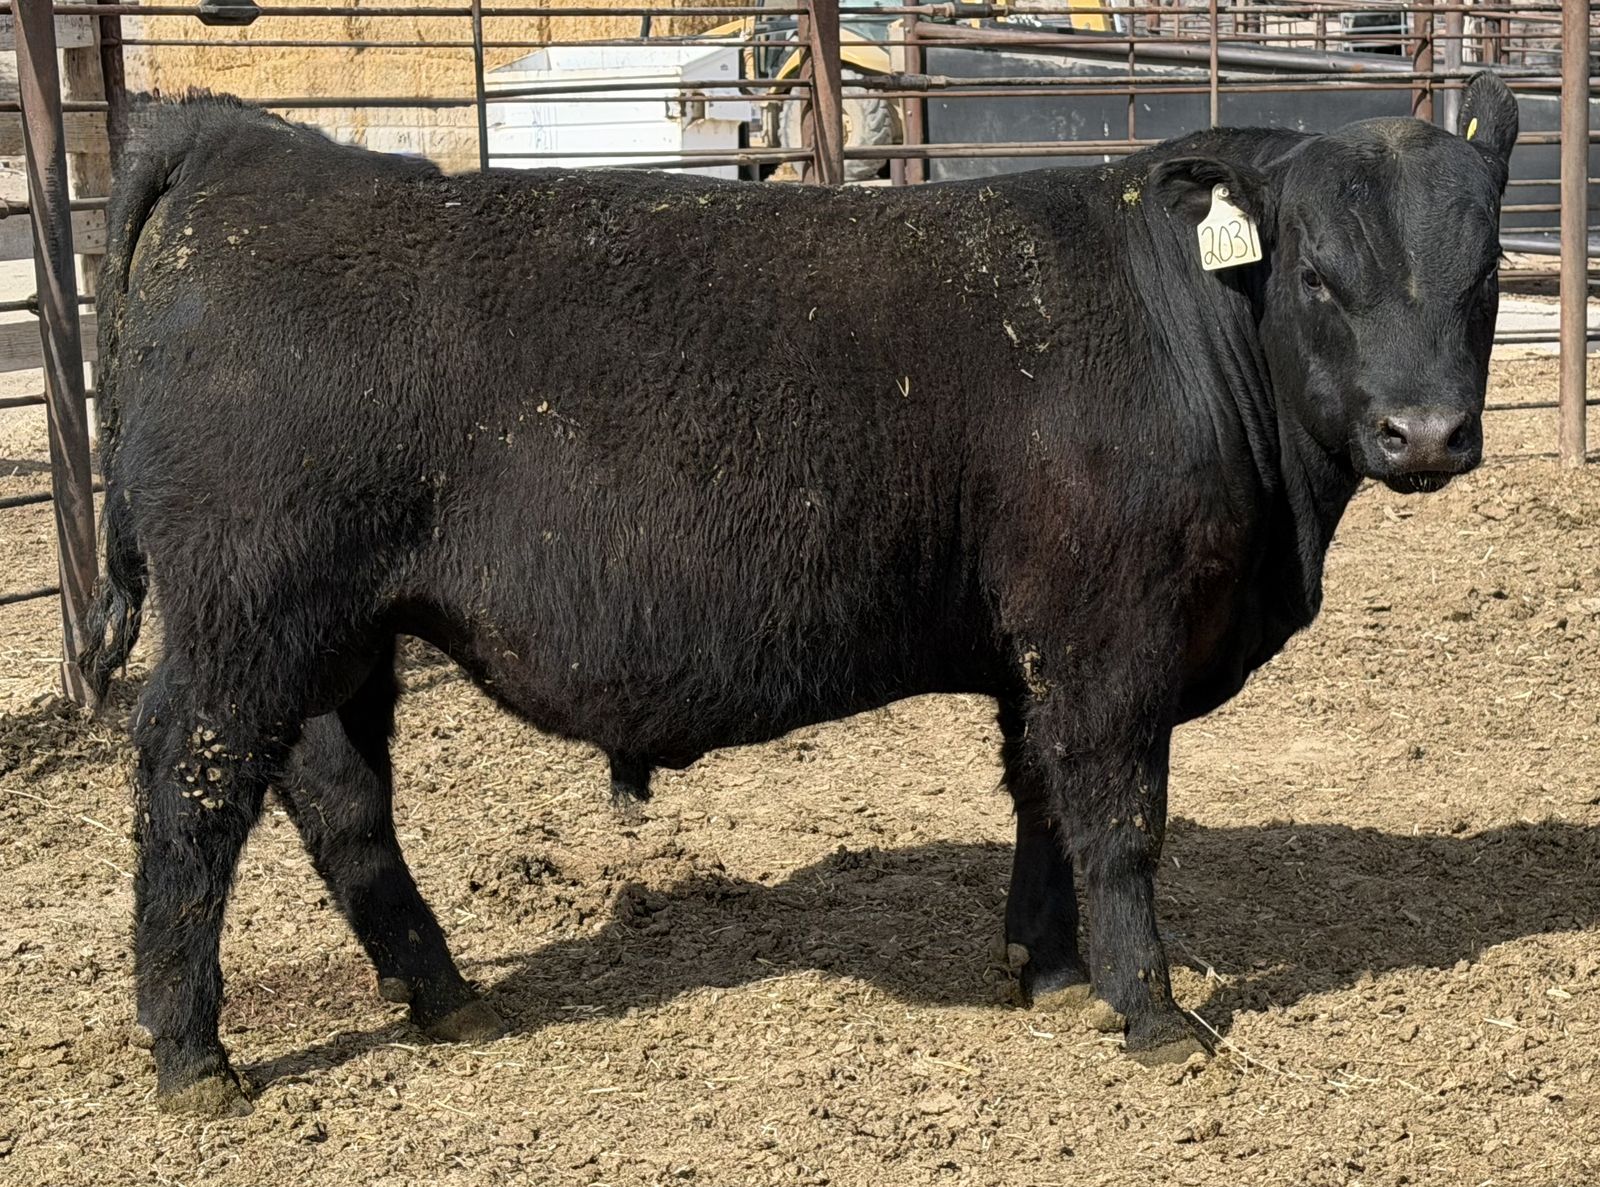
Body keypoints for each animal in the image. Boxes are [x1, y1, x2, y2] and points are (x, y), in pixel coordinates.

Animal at [81, 76, 1519, 1114]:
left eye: (1489, 273)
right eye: (1320, 275)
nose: (1425, 433)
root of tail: (249, 145)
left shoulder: (1034, 646)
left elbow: (1042, 802)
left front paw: (1048, 971)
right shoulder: (1107, 637)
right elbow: (1118, 818)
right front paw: (1153, 1012)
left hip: (339, 632)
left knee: (340, 799)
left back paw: (445, 997)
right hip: (247, 613)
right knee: (190, 785)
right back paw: (194, 1058)